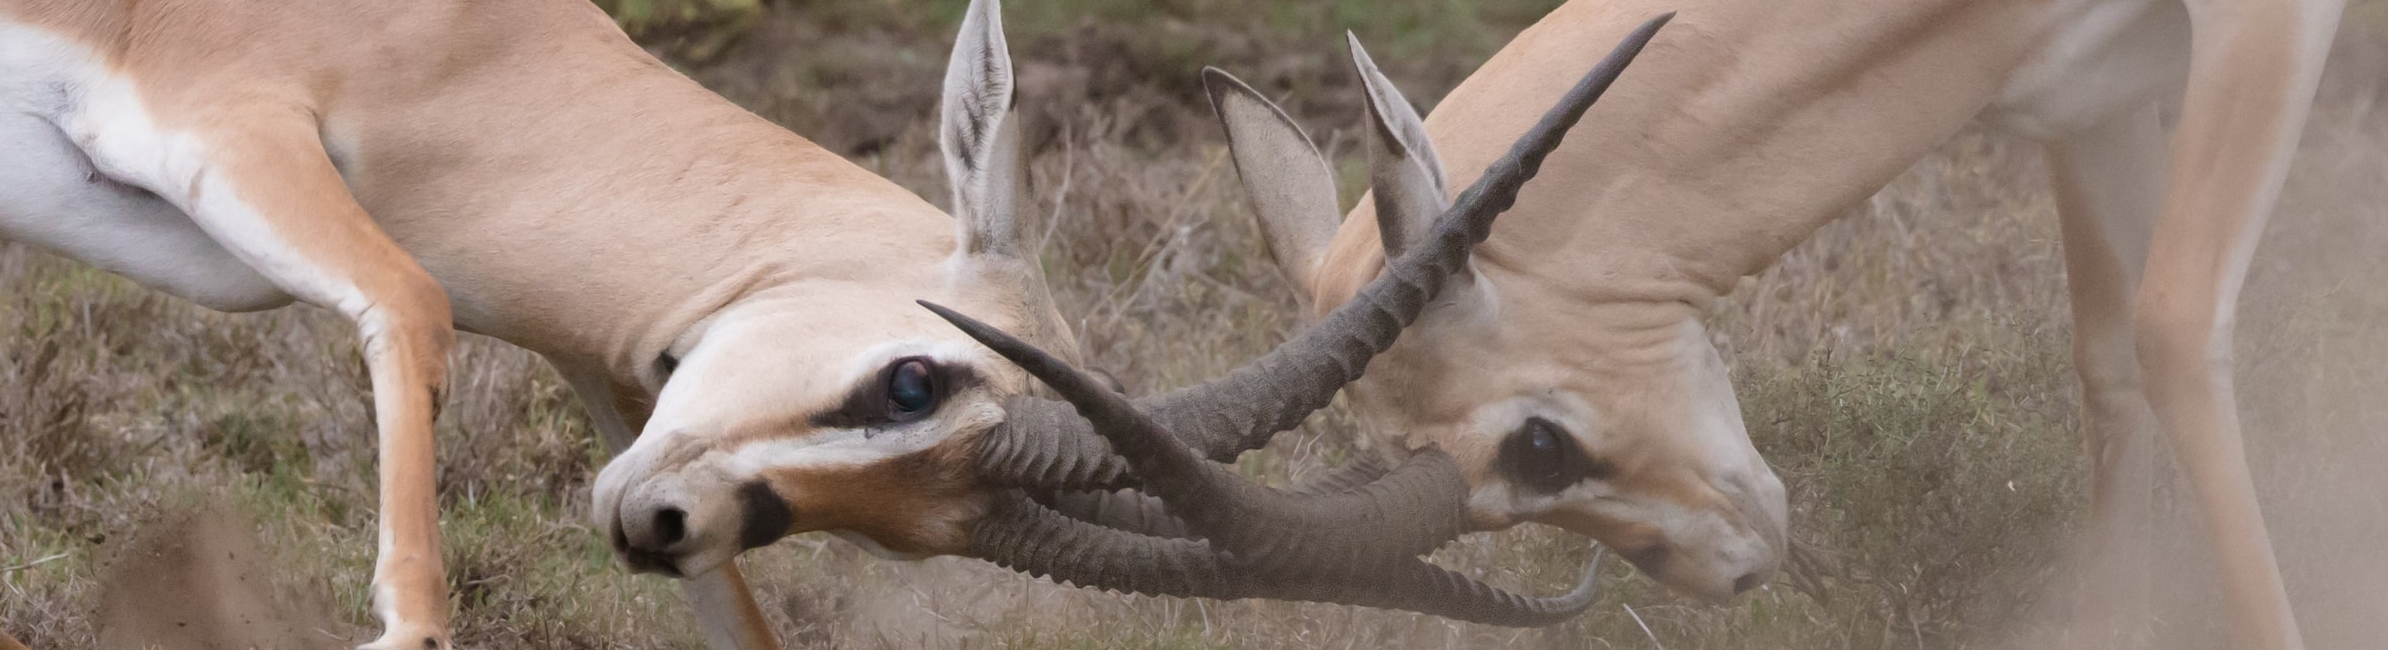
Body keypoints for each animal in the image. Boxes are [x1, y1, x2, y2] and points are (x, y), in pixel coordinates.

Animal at [0, 0, 1652, 645]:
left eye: (899, 529)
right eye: (912, 379)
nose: (657, 521)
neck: (474, 53)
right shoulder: (227, 123)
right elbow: (410, 298)